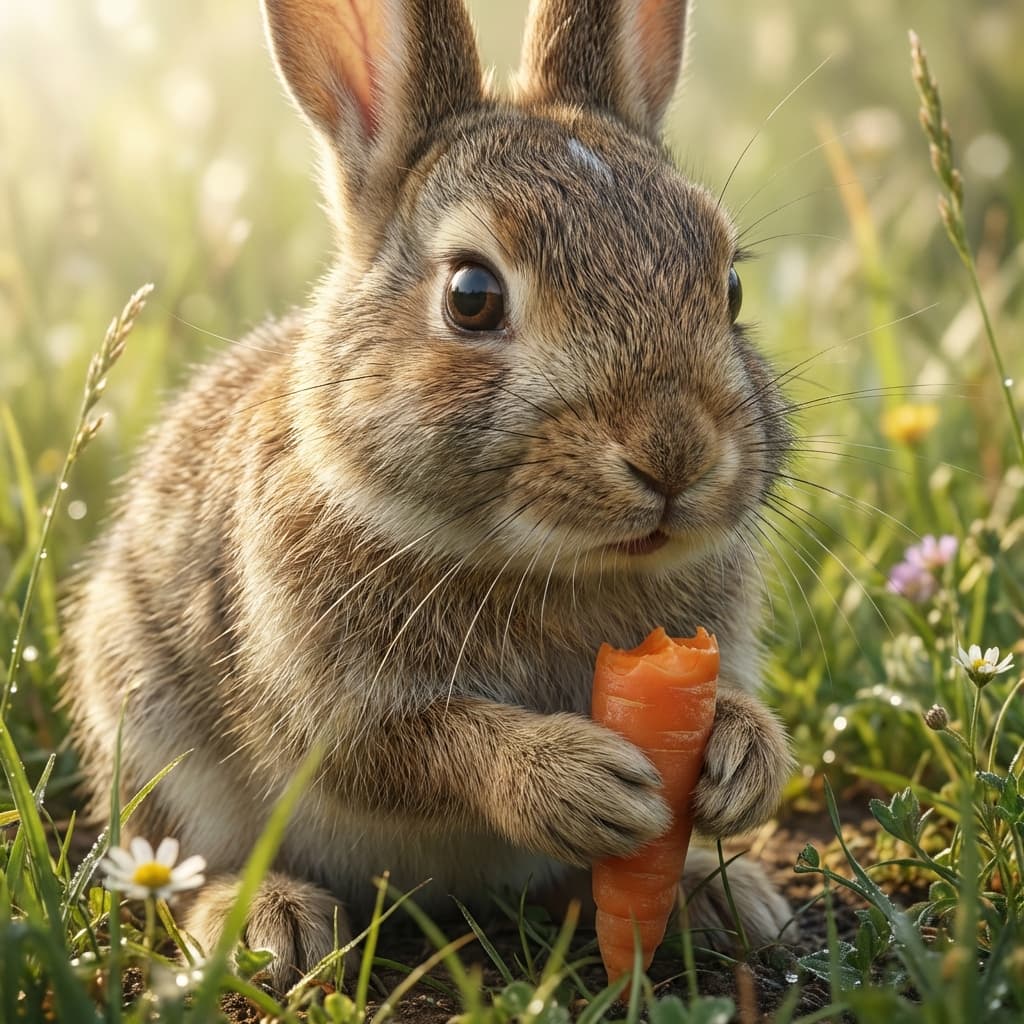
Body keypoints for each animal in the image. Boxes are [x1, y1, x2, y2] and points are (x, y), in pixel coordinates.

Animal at [62, 0, 797, 991]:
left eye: (731, 285)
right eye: (471, 295)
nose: (673, 453)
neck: (547, 563)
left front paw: (747, 758)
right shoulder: (328, 700)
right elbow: (421, 749)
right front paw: (575, 780)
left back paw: (719, 899)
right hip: (149, 727)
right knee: (182, 866)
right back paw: (272, 924)